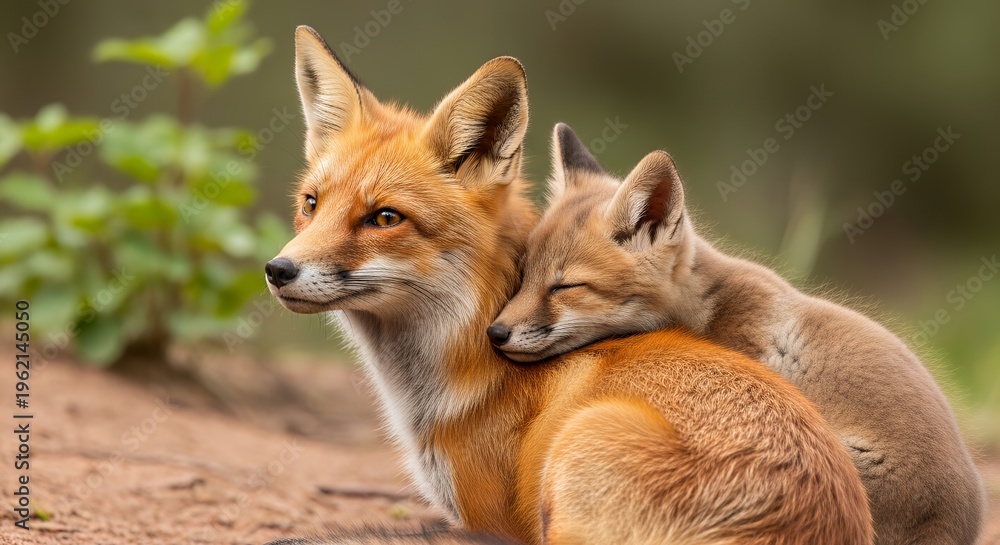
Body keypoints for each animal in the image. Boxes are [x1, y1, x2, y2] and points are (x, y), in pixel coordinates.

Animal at [264, 26, 873, 545]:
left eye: (385, 218)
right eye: (311, 205)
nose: (277, 270)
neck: (468, 364)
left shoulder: (495, 522)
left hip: (587, 438)